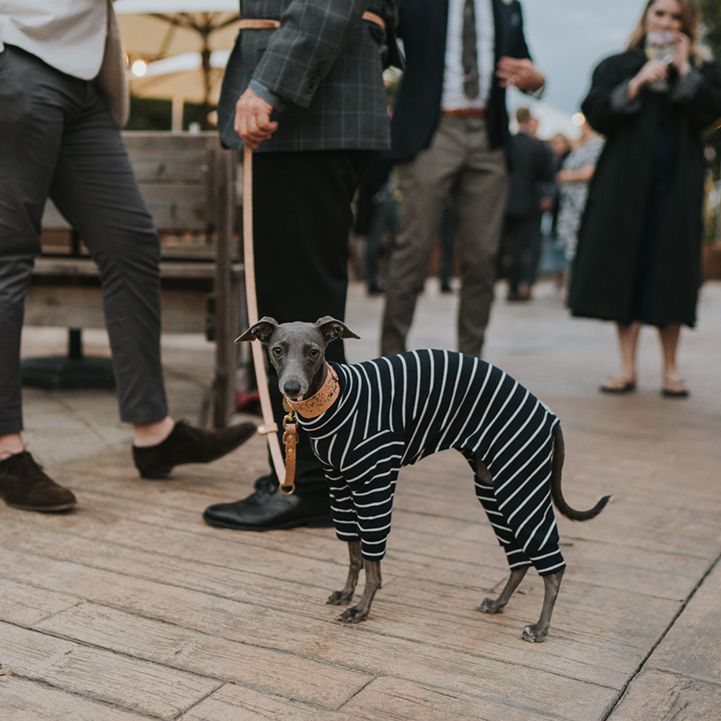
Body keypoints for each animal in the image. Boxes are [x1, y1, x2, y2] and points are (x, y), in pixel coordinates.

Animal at [237, 316, 610, 642]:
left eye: (313, 351)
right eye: (277, 349)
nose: (292, 388)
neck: (334, 400)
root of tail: (548, 413)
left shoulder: (374, 484)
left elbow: (372, 560)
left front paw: (362, 608)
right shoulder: (340, 486)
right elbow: (354, 552)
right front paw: (346, 593)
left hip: (521, 482)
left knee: (552, 565)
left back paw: (541, 628)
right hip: (492, 487)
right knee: (518, 558)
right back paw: (498, 602)